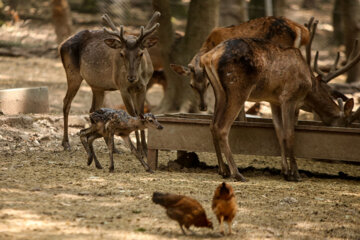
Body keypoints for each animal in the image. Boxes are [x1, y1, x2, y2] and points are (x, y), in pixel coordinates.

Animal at [59, 11, 160, 154]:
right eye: (121, 54)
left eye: (141, 53)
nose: (131, 77)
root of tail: (61, 45)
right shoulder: (123, 87)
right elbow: (133, 114)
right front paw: (139, 149)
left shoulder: (143, 86)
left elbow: (141, 112)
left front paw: (145, 149)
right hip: (72, 73)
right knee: (66, 102)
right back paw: (66, 143)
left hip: (97, 86)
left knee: (93, 109)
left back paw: (112, 147)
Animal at [200, 17, 360, 181]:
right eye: (346, 123)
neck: (308, 89)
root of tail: (208, 57)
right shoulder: (289, 97)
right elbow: (289, 134)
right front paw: (295, 173)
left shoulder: (274, 101)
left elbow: (280, 133)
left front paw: (285, 172)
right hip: (238, 89)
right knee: (222, 127)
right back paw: (237, 173)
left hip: (219, 92)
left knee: (213, 125)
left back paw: (223, 170)